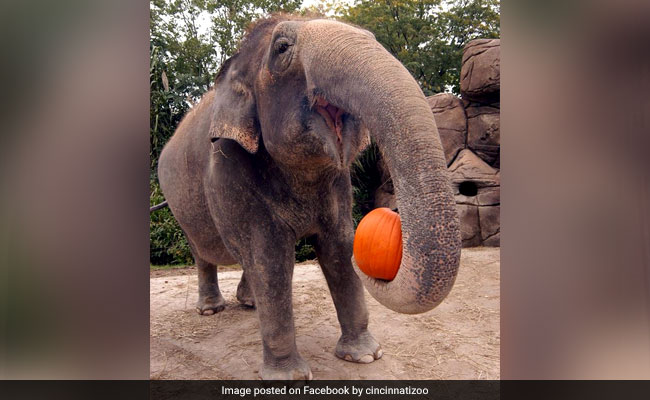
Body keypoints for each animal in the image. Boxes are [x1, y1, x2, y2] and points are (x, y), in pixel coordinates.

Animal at [157, 14, 460, 380]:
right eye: (282, 48)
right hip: (179, 206)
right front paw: (289, 379)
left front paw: (365, 356)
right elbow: (269, 258)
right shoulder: (228, 171)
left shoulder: (338, 181)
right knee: (204, 251)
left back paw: (249, 304)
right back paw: (211, 310)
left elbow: (338, 246)